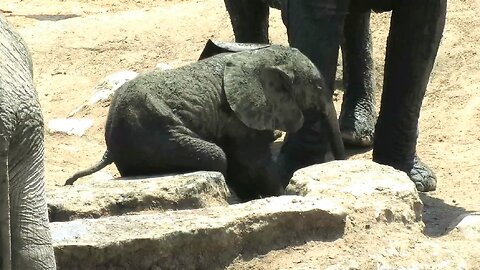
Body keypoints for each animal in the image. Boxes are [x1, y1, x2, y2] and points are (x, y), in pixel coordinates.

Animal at [64, 42, 344, 200]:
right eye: (318, 86)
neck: (259, 57)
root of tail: (109, 146)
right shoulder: (243, 115)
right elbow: (252, 162)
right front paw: (279, 196)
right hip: (154, 129)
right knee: (216, 156)